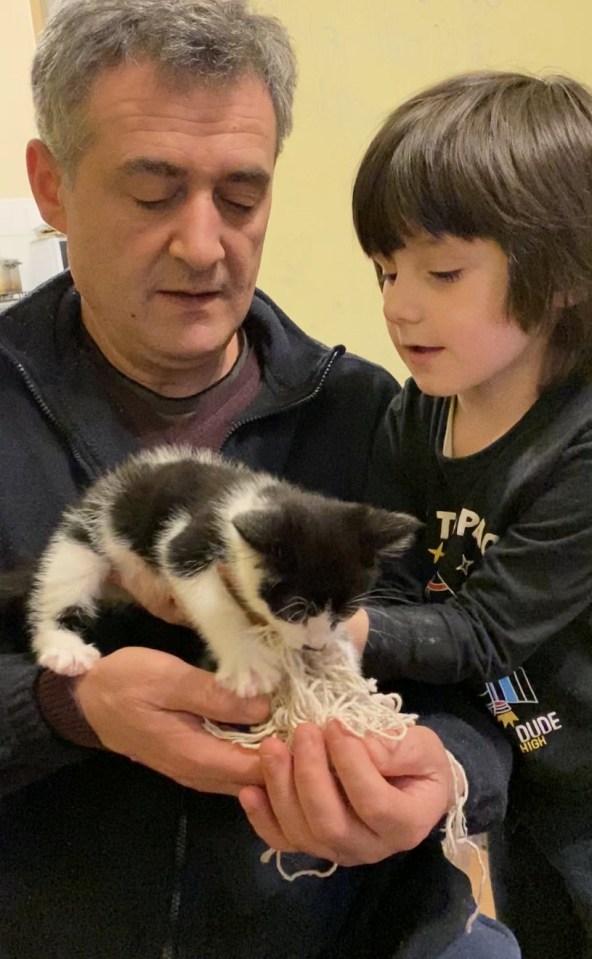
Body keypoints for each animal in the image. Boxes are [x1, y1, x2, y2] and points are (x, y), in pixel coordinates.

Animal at [27, 450, 416, 696]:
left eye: (348, 611)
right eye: (294, 611)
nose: (315, 645)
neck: (259, 500)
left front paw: (337, 650)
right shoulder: (184, 543)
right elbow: (217, 606)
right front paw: (249, 663)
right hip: (87, 535)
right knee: (64, 583)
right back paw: (63, 646)